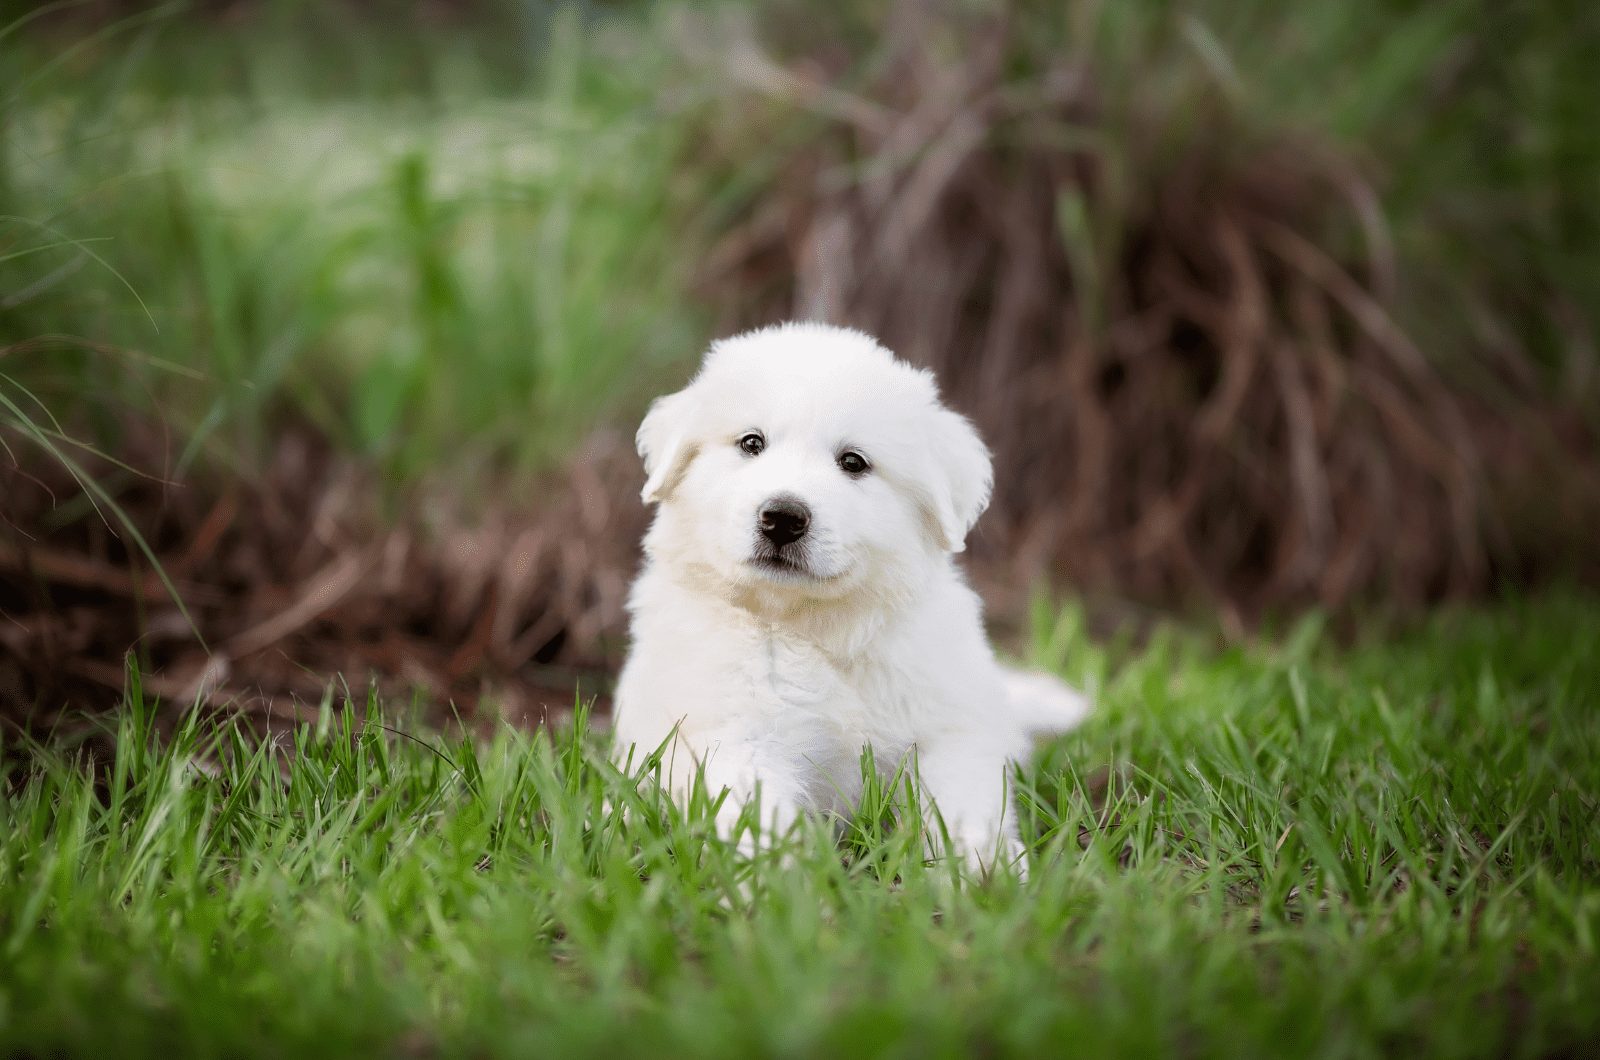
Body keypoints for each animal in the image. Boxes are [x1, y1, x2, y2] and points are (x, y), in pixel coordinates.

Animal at [611, 328, 1088, 877]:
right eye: (752, 444)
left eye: (853, 463)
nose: (783, 516)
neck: (814, 627)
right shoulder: (735, 735)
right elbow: (758, 815)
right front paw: (781, 886)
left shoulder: (949, 729)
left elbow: (963, 808)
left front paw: (986, 876)